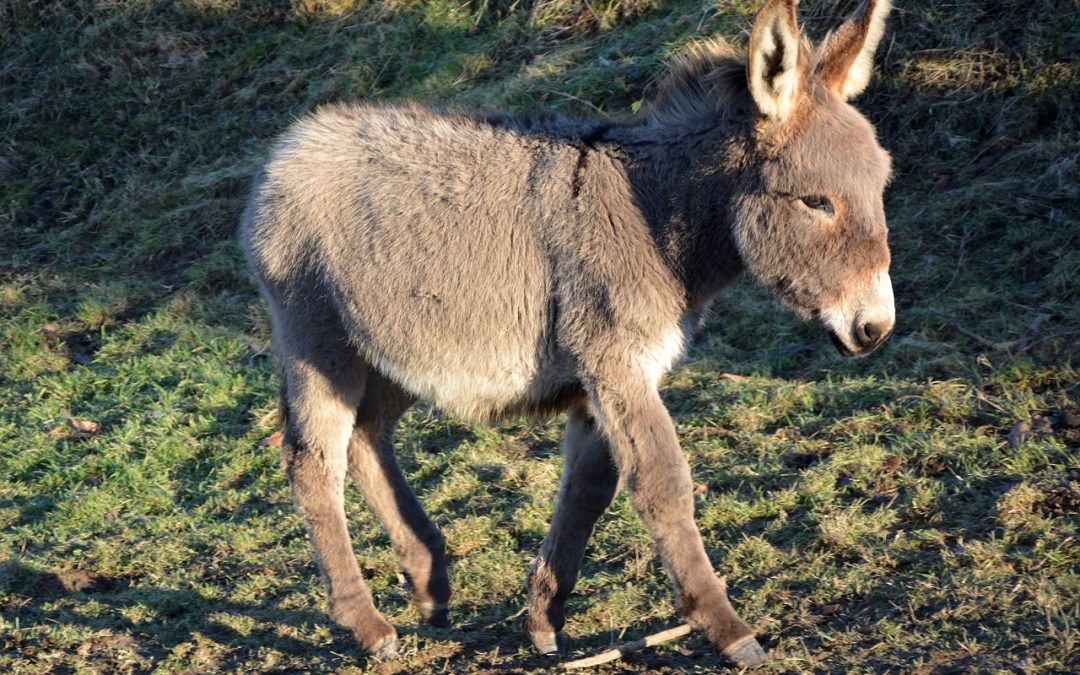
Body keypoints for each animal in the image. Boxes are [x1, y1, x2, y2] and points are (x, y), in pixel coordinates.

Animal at [243, 0, 894, 665]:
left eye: (881, 189)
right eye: (815, 202)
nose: (875, 328)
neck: (653, 215)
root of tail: (292, 144)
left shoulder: (607, 378)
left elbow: (589, 489)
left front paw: (543, 620)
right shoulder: (615, 364)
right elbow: (661, 484)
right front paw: (728, 629)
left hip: (392, 348)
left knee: (368, 438)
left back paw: (431, 585)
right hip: (317, 341)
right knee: (313, 462)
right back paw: (368, 627)